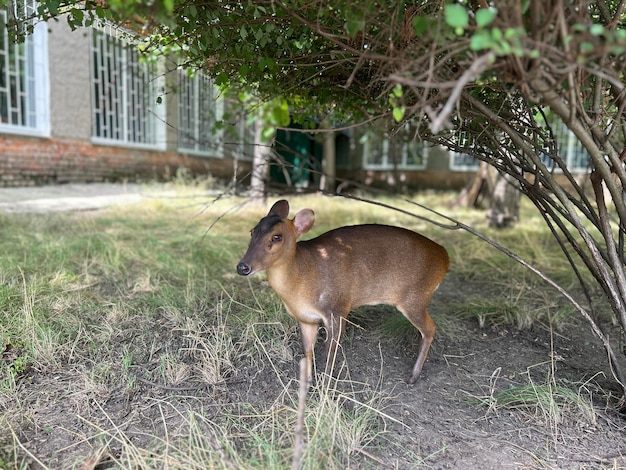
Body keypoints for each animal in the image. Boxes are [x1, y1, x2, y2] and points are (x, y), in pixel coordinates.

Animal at [235, 200, 448, 384]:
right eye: (252, 231)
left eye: (276, 237)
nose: (242, 267)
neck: (302, 278)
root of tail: (445, 256)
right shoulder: (306, 318)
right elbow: (308, 349)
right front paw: (308, 381)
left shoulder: (337, 308)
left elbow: (330, 351)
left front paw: (325, 384)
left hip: (415, 296)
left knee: (430, 328)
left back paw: (413, 376)